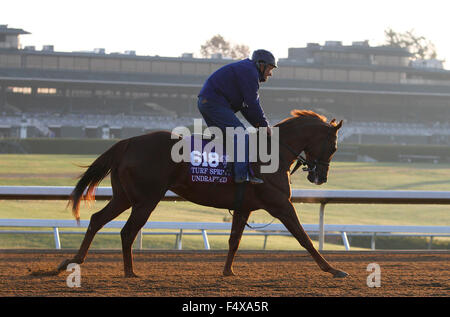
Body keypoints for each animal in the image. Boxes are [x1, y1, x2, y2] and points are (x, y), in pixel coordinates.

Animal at [57, 110, 348, 278]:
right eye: (334, 146)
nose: (319, 177)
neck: (272, 153)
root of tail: (127, 142)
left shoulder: (244, 207)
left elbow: (234, 240)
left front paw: (228, 271)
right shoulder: (280, 204)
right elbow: (303, 237)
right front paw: (332, 269)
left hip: (124, 196)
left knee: (97, 219)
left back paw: (72, 261)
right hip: (147, 199)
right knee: (127, 231)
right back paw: (130, 272)